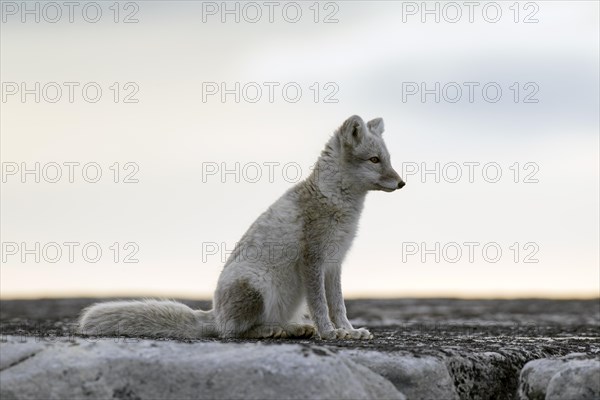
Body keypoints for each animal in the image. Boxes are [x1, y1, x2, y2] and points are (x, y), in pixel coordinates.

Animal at [79, 115, 406, 340]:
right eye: (374, 160)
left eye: (387, 159)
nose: (402, 183)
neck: (336, 201)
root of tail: (214, 314)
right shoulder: (313, 260)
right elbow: (321, 306)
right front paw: (329, 333)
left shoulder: (334, 263)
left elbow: (339, 305)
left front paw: (349, 330)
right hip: (255, 285)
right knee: (233, 332)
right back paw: (272, 331)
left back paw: (293, 328)